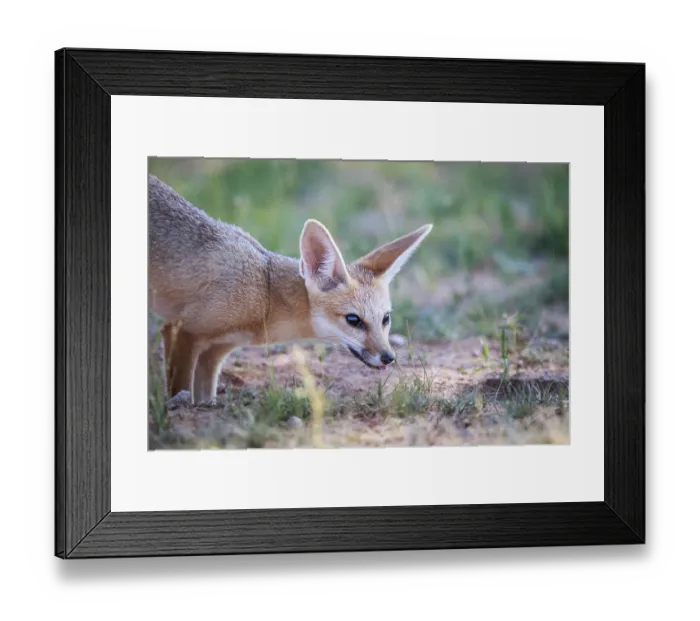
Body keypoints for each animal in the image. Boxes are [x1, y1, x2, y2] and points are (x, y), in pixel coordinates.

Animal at [148, 174, 432, 405]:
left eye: (386, 319)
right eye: (353, 320)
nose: (389, 357)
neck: (265, 293)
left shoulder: (214, 352)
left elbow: (204, 397)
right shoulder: (181, 331)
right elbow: (180, 390)